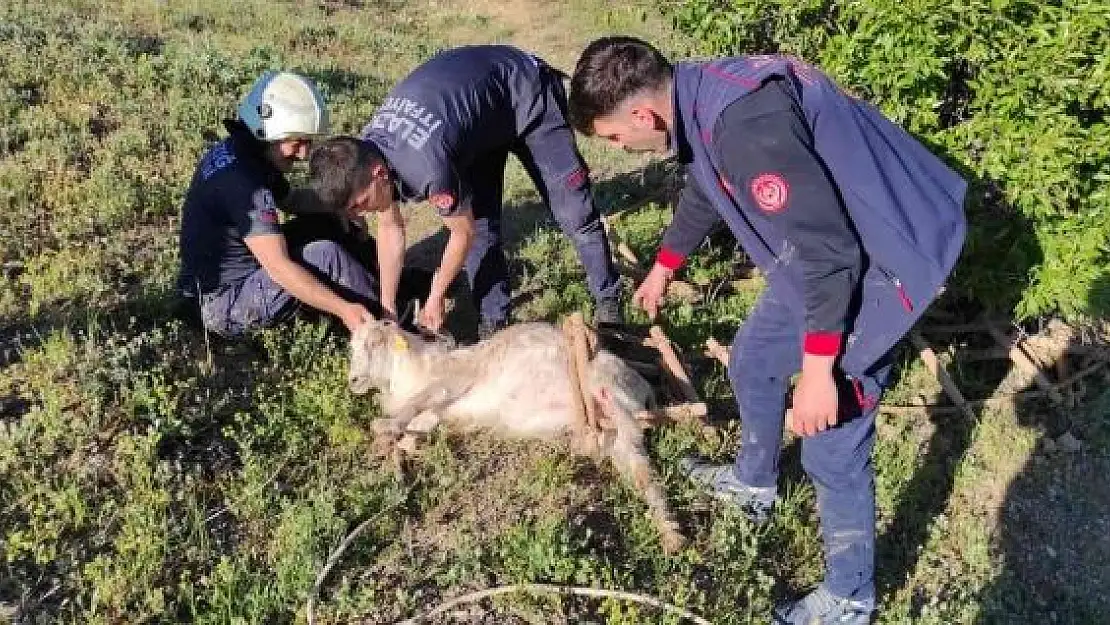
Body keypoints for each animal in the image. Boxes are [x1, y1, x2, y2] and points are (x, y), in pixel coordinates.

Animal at [348, 321, 683, 552]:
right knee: (645, 476)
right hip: (619, 440)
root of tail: (643, 388)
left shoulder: (453, 380)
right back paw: (672, 535)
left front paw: (383, 427)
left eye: (374, 343)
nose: (352, 380)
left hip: (612, 398)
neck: (417, 369)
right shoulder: (441, 412)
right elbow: (416, 427)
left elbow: (420, 402)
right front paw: (391, 455)